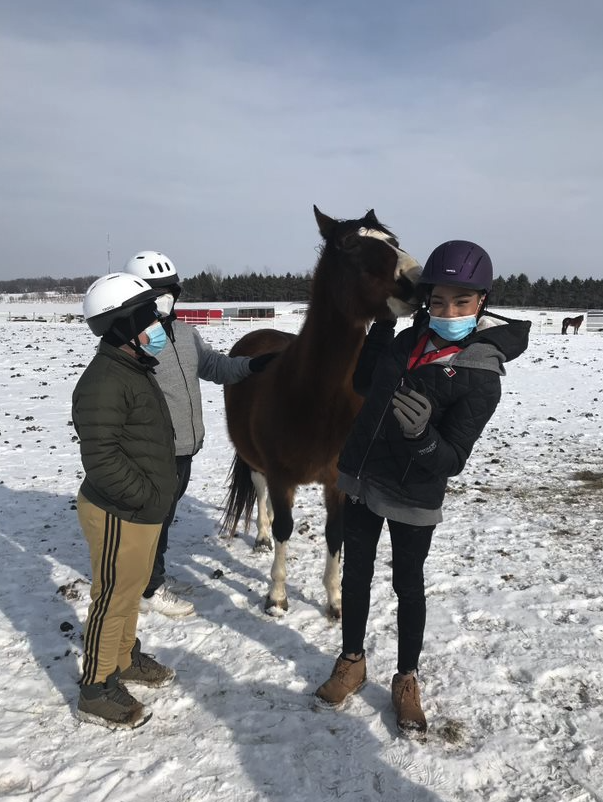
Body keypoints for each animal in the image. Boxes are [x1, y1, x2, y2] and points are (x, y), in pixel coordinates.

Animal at [221, 206, 422, 618]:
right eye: (349, 244)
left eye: (393, 241)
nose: (417, 280)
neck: (315, 397)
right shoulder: (281, 477)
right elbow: (284, 527)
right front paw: (276, 596)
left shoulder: (336, 482)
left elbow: (335, 534)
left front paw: (334, 600)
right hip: (256, 462)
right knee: (261, 494)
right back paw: (261, 537)